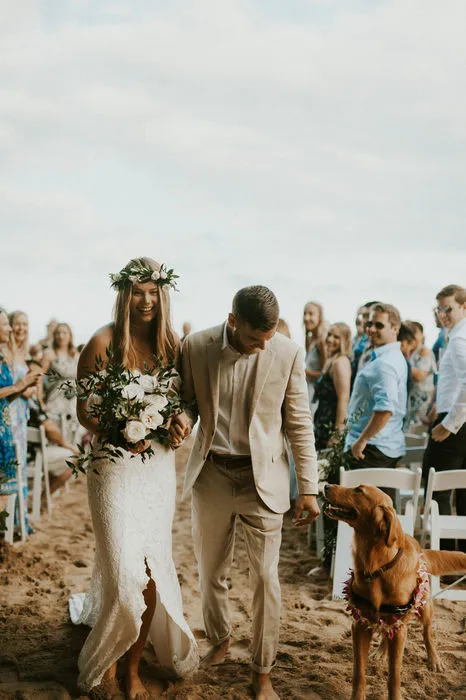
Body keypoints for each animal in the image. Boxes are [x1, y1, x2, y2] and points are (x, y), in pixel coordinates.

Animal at [324, 482, 466, 700]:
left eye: (359, 490)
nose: (325, 485)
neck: (376, 567)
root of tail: (417, 544)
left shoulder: (400, 630)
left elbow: (394, 675)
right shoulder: (359, 625)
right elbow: (359, 673)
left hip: (424, 606)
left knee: (427, 633)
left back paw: (434, 660)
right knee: (386, 631)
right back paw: (382, 652)